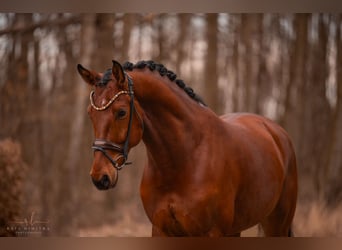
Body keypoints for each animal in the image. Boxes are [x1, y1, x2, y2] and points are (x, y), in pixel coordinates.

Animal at [77, 59, 296, 236]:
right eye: (90, 113)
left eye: (121, 112)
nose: (100, 177)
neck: (185, 159)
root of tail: (277, 132)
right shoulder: (161, 230)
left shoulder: (211, 232)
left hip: (276, 224)